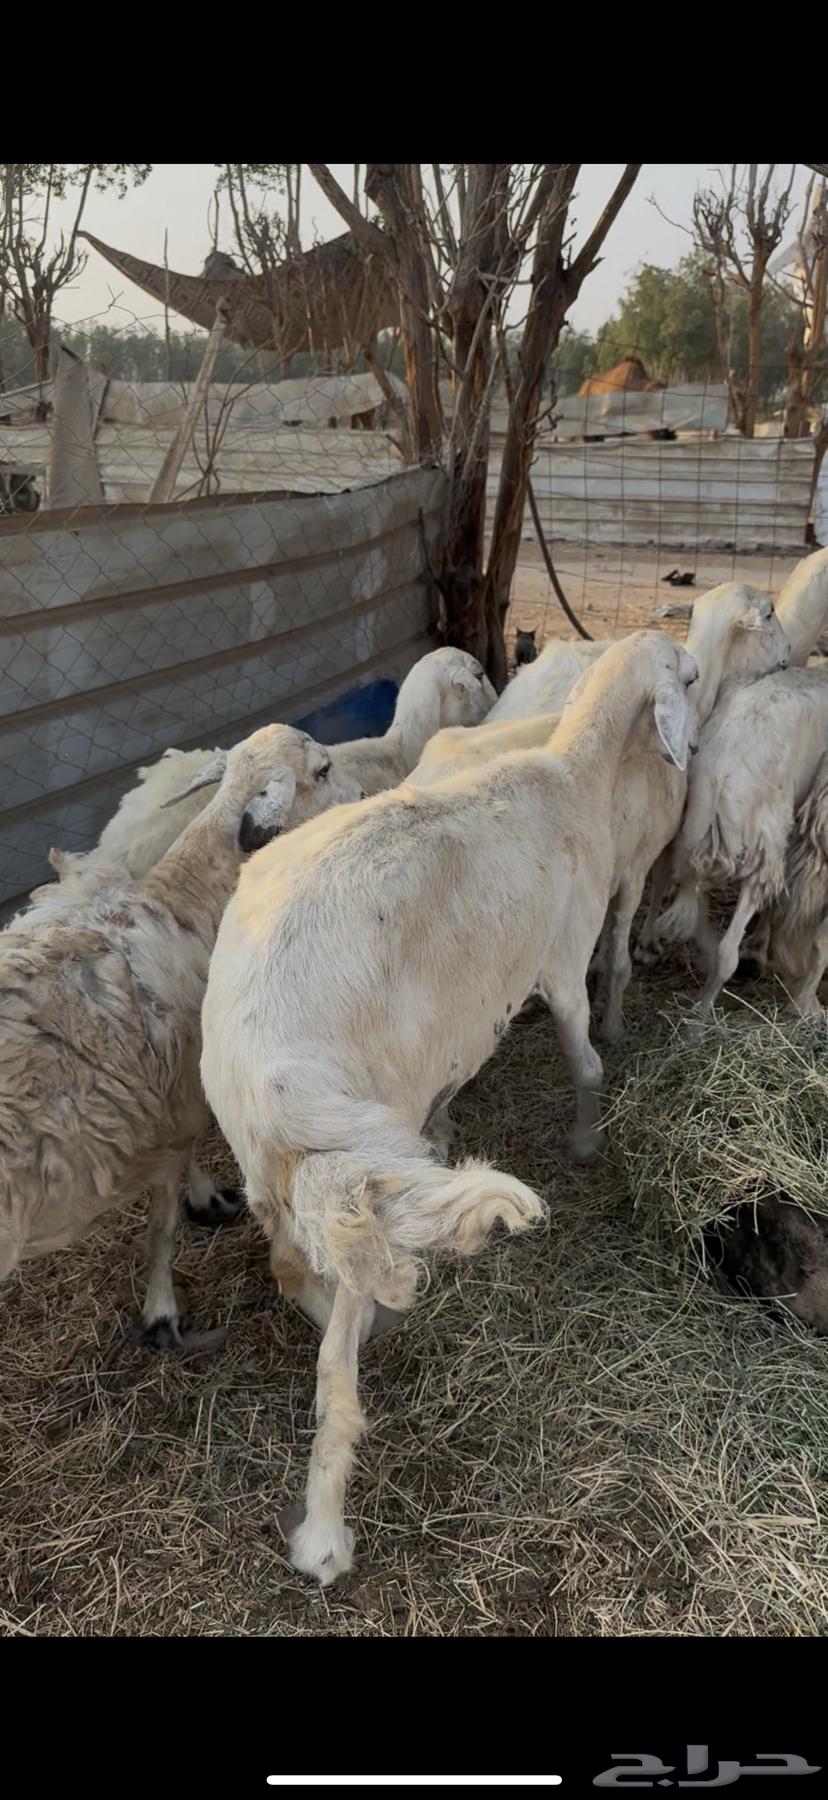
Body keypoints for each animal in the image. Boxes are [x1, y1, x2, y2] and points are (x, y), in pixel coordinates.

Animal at [0, 724, 363, 1350]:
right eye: (321, 769)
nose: (365, 794)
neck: (186, 903)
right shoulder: (173, 1106)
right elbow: (163, 1223)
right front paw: (163, 1310)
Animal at [199, 630, 697, 1584]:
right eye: (688, 676)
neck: (572, 773)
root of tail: (265, 1071)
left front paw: (454, 1127)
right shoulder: (562, 959)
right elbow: (585, 1059)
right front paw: (587, 1141)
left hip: (287, 1169)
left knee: (292, 1268)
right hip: (354, 1152)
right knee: (337, 1360)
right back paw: (325, 1532)